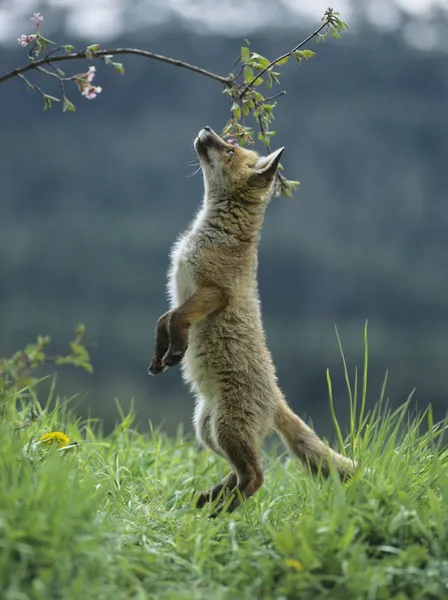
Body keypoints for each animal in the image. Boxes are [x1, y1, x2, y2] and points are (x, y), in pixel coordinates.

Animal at [149, 126, 356, 516]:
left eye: (229, 150)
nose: (206, 129)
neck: (212, 234)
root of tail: (277, 398)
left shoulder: (213, 293)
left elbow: (178, 319)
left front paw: (176, 351)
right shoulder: (182, 293)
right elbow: (162, 320)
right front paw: (159, 357)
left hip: (227, 430)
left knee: (258, 477)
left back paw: (220, 511)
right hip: (208, 432)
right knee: (241, 473)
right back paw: (212, 500)